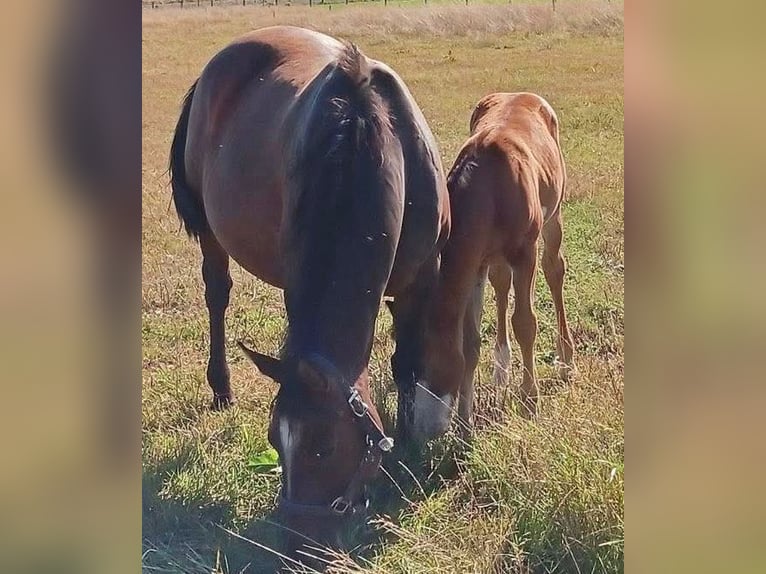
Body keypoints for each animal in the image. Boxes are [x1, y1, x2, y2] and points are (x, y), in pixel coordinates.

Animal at [167, 26, 449, 554]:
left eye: (323, 446)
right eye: (274, 441)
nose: (298, 546)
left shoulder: (422, 279)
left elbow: (407, 363)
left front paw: (407, 447)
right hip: (213, 234)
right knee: (217, 293)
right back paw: (221, 387)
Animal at [402, 92, 575, 441]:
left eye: (427, 366)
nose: (422, 432)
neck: (491, 190)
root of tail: (524, 93)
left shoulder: (524, 253)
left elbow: (525, 323)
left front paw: (530, 400)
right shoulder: (476, 263)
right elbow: (470, 341)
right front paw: (464, 423)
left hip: (554, 213)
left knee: (554, 270)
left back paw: (565, 359)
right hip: (494, 258)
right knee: (501, 283)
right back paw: (501, 368)